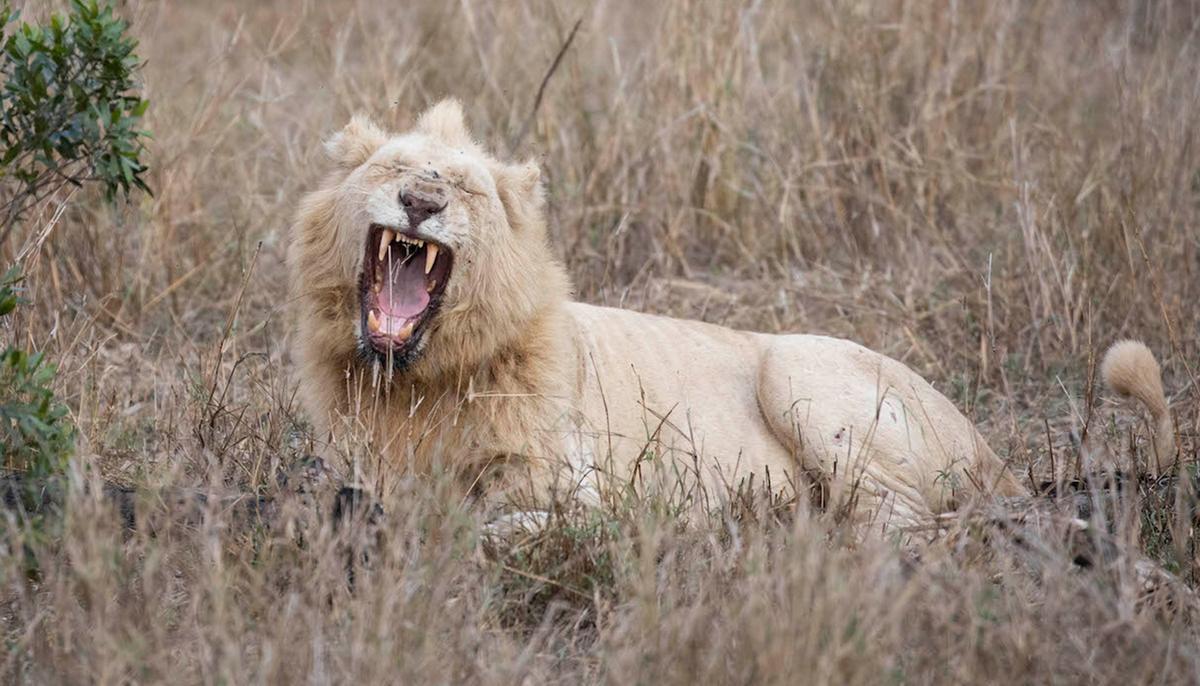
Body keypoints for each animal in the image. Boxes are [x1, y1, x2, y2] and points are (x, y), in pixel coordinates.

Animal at [287, 100, 1175, 531]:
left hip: (800, 370)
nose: (421, 201)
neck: (415, 382)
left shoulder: (587, 493)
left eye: (465, 188)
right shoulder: (353, 462)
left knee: (910, 522)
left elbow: (493, 522)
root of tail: (993, 449)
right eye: (396, 168)